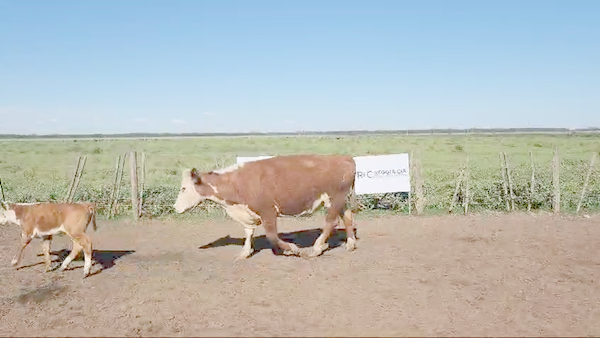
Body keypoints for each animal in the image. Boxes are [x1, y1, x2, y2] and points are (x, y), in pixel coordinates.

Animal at [173, 154, 358, 260]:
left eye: (184, 188)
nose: (175, 208)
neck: (238, 182)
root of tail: (344, 158)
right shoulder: (248, 212)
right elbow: (249, 232)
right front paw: (244, 252)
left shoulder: (267, 211)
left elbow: (272, 236)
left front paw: (292, 249)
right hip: (341, 200)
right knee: (347, 217)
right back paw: (350, 244)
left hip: (334, 198)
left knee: (330, 221)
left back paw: (317, 248)